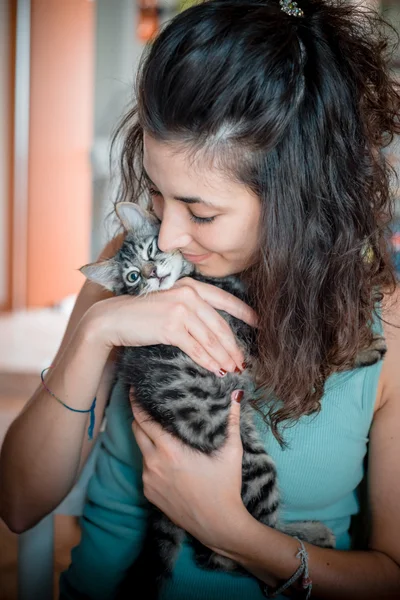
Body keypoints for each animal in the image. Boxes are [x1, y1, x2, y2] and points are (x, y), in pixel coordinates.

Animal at [80, 203, 382, 600]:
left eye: (151, 251)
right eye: (132, 277)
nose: (151, 274)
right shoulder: (252, 339)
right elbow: (316, 352)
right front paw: (362, 345)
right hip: (249, 463)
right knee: (236, 552)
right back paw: (309, 538)